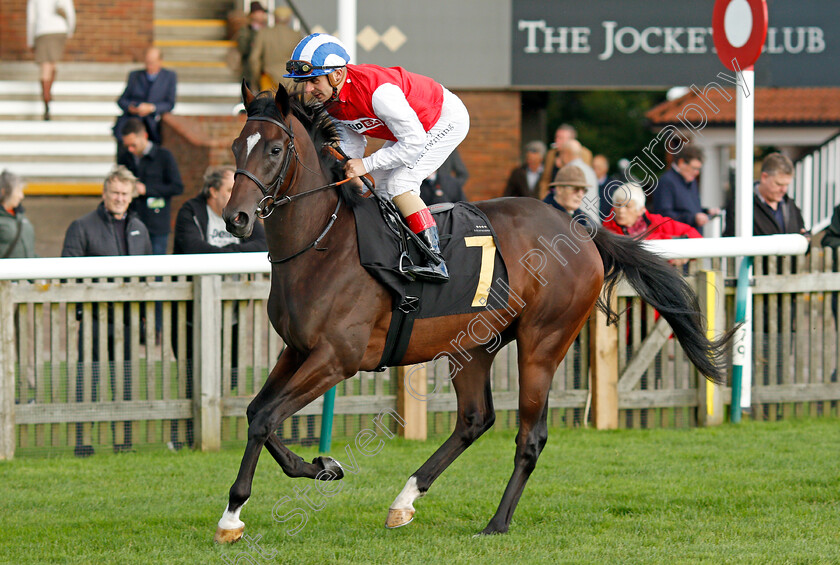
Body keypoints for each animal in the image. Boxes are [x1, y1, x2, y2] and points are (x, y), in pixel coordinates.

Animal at [217, 83, 736, 540]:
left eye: (276, 149)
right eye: (237, 145)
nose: (235, 218)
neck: (323, 244)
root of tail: (582, 229)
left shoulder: (337, 358)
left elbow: (266, 418)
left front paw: (235, 514)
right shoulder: (297, 350)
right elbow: (257, 412)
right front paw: (319, 468)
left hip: (543, 342)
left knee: (529, 436)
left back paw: (496, 522)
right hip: (474, 343)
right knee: (473, 419)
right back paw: (404, 501)